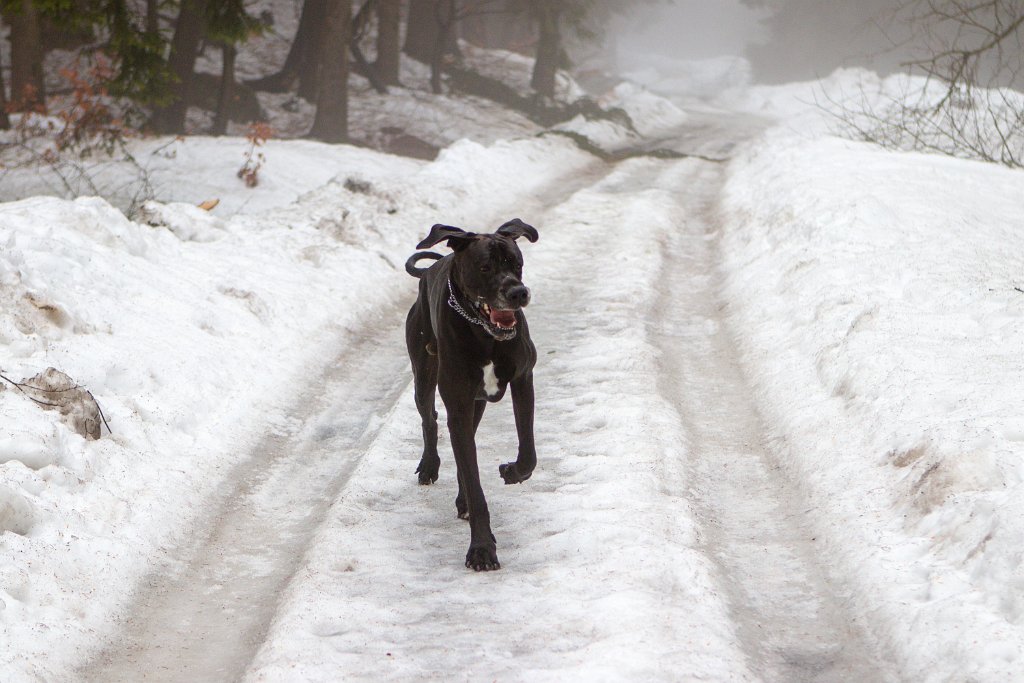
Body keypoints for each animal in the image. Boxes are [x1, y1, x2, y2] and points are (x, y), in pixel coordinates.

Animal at [403, 219, 540, 573]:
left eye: (517, 263)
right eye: (485, 267)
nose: (518, 292)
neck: (484, 333)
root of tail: (429, 271)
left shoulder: (523, 379)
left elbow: (528, 453)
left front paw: (511, 471)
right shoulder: (458, 403)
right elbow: (475, 483)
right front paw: (481, 550)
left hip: (475, 402)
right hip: (425, 376)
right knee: (431, 419)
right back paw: (429, 466)